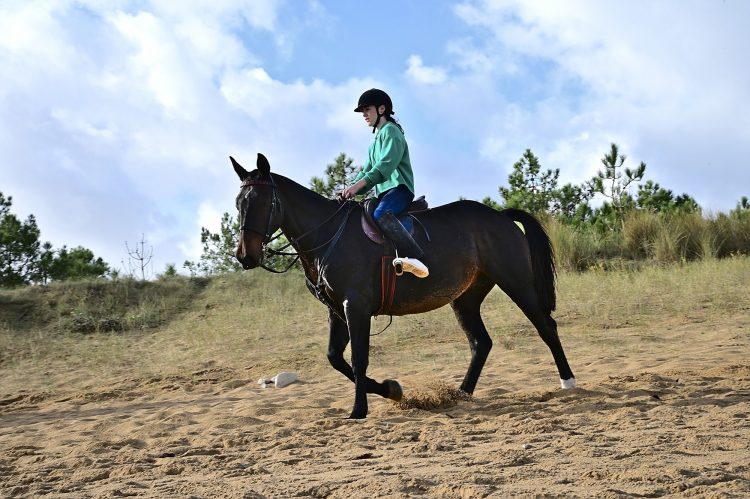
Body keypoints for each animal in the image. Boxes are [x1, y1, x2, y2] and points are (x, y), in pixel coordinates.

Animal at [232, 153, 575, 419]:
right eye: (239, 203)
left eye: (261, 201)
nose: (245, 256)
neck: (328, 235)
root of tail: (500, 216)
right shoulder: (337, 311)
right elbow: (335, 358)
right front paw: (391, 390)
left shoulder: (356, 308)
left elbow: (358, 358)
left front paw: (359, 409)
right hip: (466, 298)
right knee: (481, 343)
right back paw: (461, 394)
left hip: (517, 283)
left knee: (546, 326)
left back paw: (568, 381)